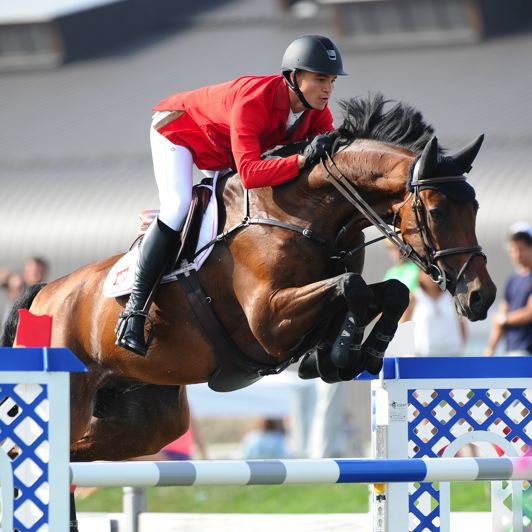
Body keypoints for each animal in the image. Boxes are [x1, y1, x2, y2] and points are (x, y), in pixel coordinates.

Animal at [2, 94, 496, 462]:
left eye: (475, 207)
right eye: (436, 211)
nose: (482, 297)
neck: (304, 214)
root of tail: (42, 295)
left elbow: (388, 291)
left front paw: (352, 354)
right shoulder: (268, 322)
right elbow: (351, 288)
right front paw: (341, 352)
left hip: (149, 418)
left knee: (71, 454)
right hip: (73, 393)